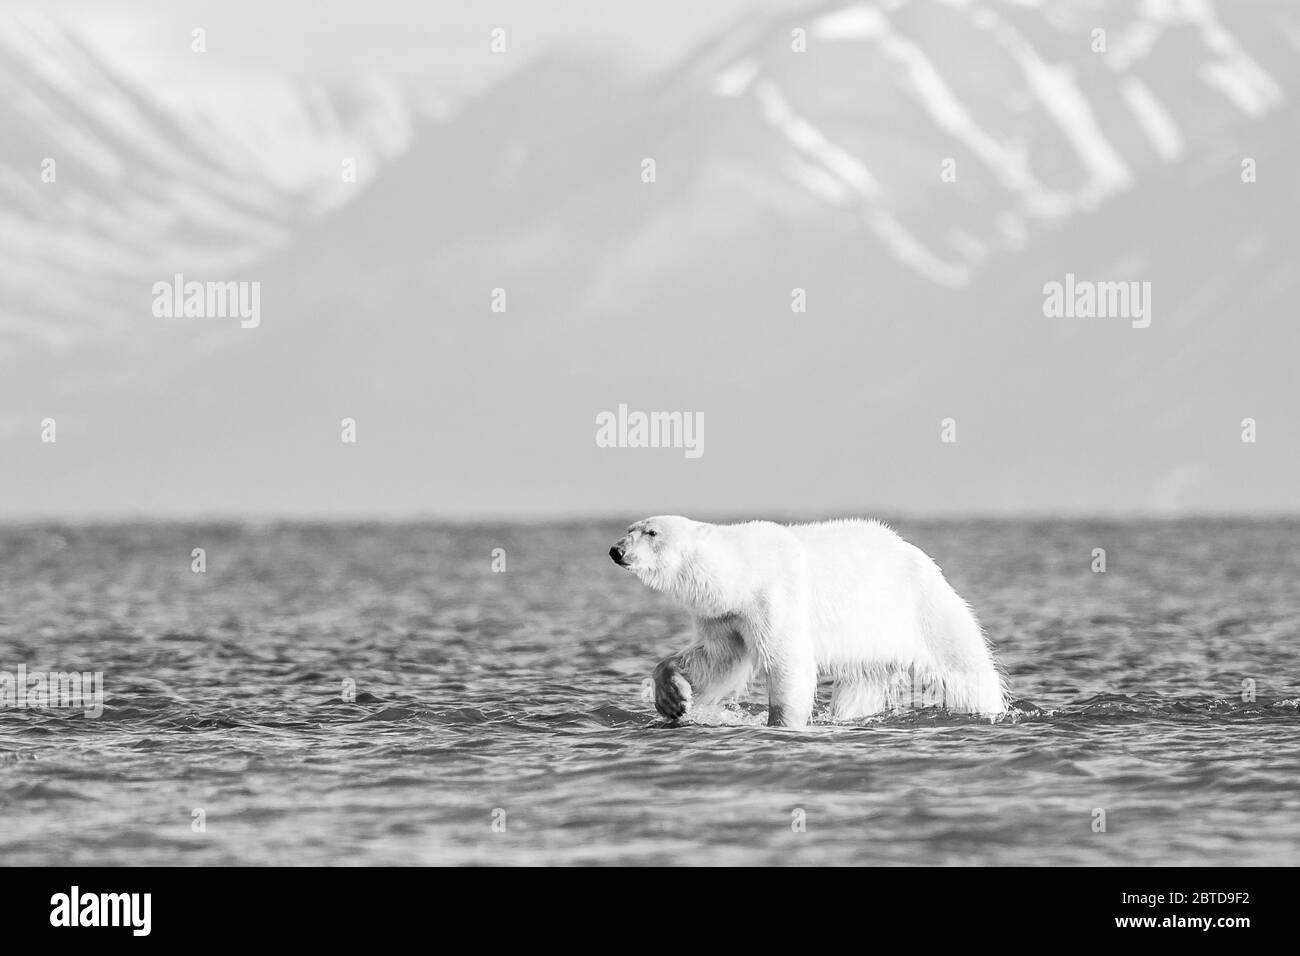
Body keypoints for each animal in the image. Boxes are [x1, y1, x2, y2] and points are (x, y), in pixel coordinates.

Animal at [608, 515, 1003, 723]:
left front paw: (780, 723)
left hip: (924, 609)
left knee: (967, 669)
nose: (616, 550)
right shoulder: (725, 615)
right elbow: (719, 660)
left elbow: (789, 663)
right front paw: (673, 697)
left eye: (651, 532)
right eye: (628, 529)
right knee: (860, 686)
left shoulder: (774, 597)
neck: (743, 570)